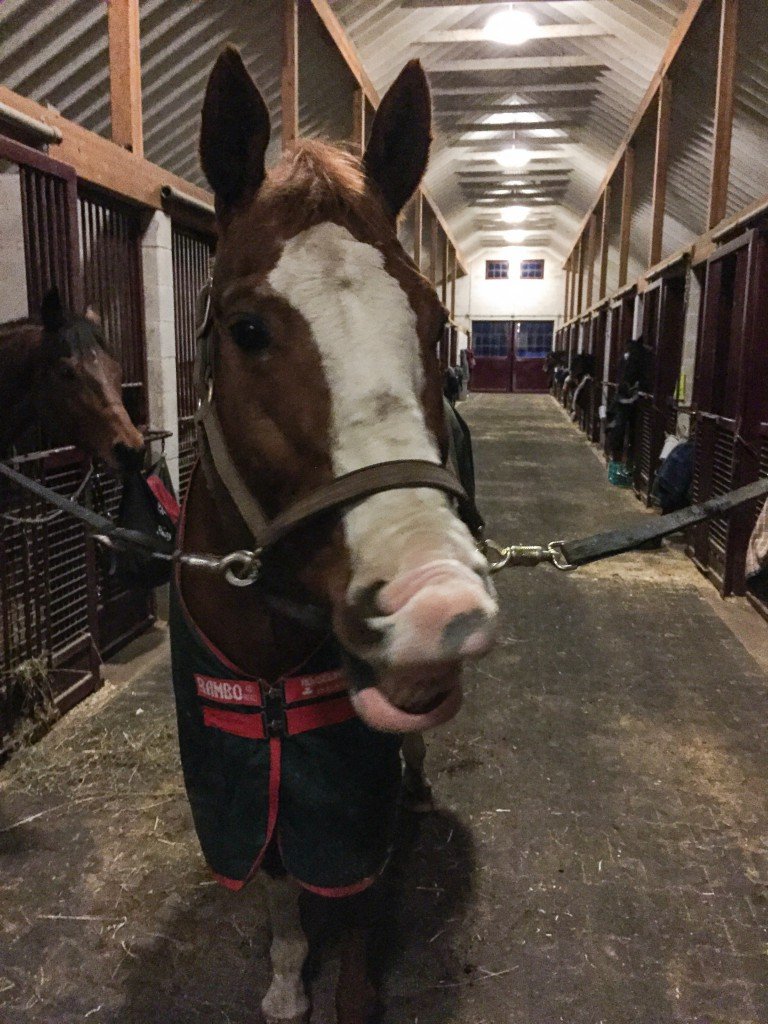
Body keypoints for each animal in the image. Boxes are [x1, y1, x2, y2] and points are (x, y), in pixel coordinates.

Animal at [172, 49, 501, 1024]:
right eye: (246, 329)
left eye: (437, 325)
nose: (437, 604)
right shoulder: (240, 763)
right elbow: (281, 881)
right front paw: (287, 980)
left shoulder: (350, 768)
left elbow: (355, 887)